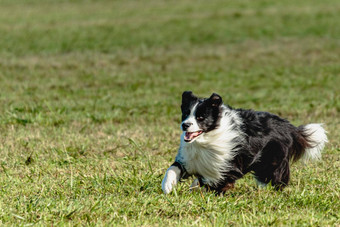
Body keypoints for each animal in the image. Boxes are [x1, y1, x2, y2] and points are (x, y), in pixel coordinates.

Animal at [162, 91, 326, 194]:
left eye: (201, 117)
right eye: (185, 114)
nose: (185, 125)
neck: (205, 139)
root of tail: (289, 127)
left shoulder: (227, 165)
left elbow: (215, 181)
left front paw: (198, 187)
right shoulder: (189, 159)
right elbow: (173, 169)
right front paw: (168, 186)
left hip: (271, 162)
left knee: (277, 178)